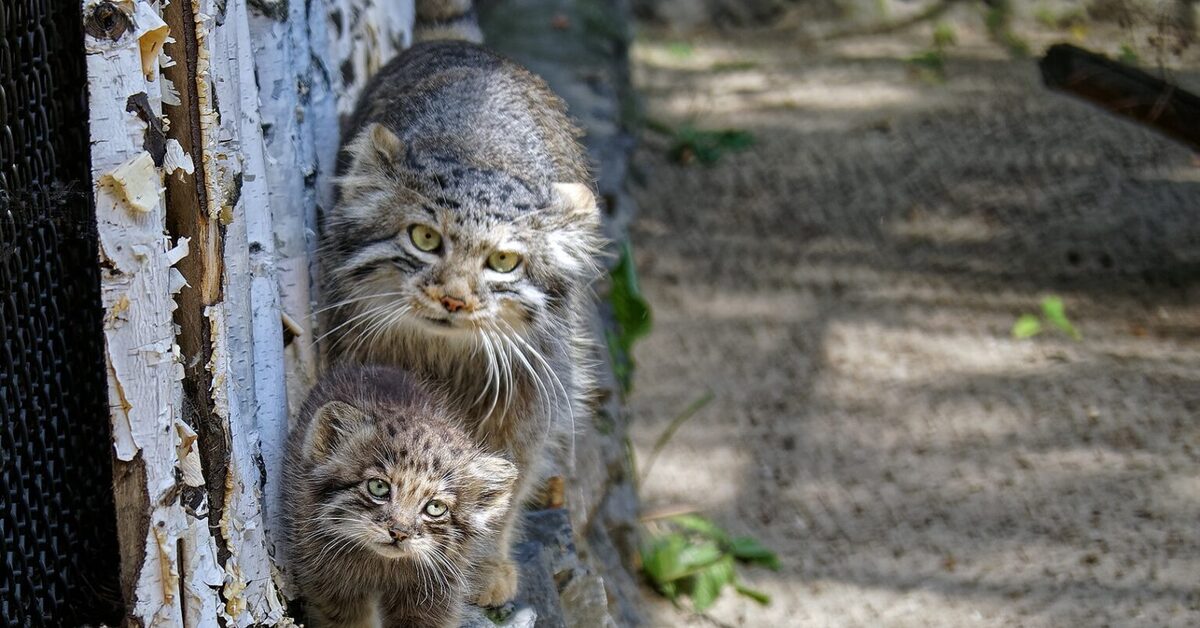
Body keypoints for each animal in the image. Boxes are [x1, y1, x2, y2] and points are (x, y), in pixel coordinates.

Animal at [288, 365, 523, 624]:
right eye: (378, 487)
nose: (399, 533)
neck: (382, 566)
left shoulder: (437, 593)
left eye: (435, 507)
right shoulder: (329, 584)